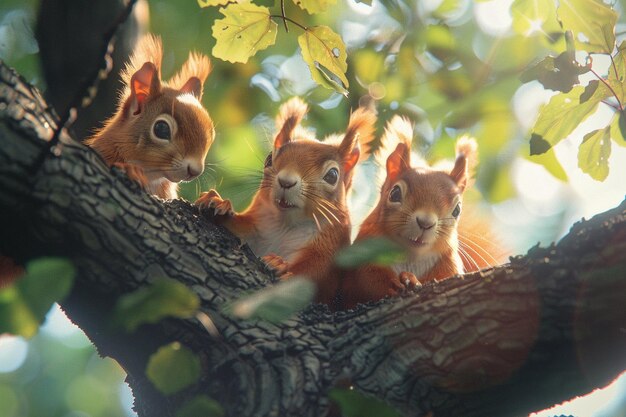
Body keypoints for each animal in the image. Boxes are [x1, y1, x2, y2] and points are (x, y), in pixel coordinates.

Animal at [84, 33, 214, 199]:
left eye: (212, 135)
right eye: (162, 129)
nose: (195, 171)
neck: (152, 178)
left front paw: (215, 199)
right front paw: (130, 170)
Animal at [195, 98, 376, 304]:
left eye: (332, 175)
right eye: (269, 159)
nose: (286, 181)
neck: (285, 224)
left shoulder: (329, 251)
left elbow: (314, 274)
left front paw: (279, 264)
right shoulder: (256, 227)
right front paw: (217, 202)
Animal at [338, 115, 504, 308]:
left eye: (457, 210)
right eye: (394, 193)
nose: (425, 223)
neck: (410, 256)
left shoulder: (448, 265)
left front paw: (411, 280)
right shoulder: (364, 252)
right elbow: (369, 279)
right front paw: (393, 284)